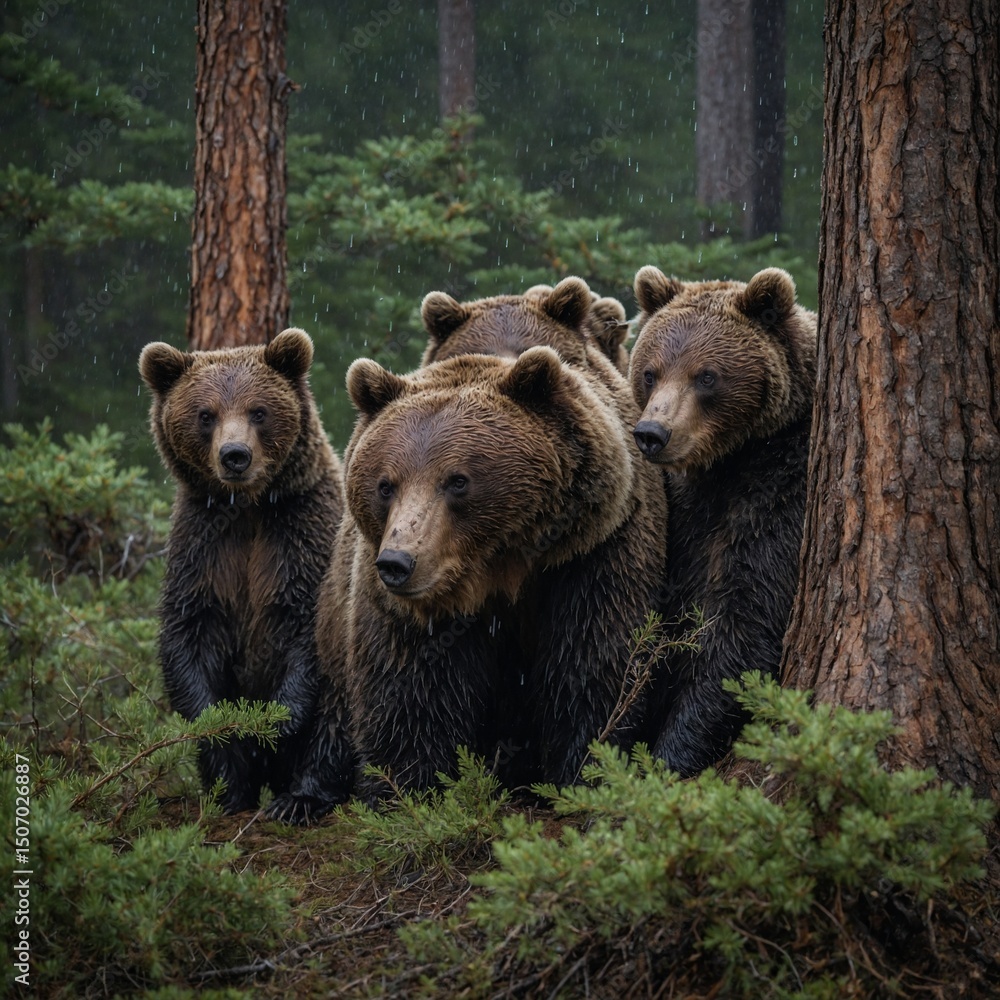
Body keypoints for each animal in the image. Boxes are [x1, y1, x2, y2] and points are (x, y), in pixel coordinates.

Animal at [138, 328, 352, 823]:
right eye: (205, 414)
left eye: (258, 410)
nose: (235, 455)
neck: (249, 508)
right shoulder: (205, 547)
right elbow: (190, 635)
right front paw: (226, 755)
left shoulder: (301, 536)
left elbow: (307, 633)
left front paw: (275, 721)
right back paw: (231, 795)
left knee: (339, 715)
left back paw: (300, 798)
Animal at [300, 345, 667, 803]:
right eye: (386, 485)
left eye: (457, 481)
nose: (398, 562)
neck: (498, 570)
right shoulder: (408, 608)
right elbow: (412, 694)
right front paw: (408, 792)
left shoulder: (591, 553)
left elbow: (592, 662)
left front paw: (582, 773)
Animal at [628, 265, 817, 777]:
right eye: (650, 372)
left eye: (707, 376)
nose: (652, 433)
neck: (729, 461)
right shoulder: (688, 510)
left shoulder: (781, 493)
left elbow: (745, 622)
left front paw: (673, 752)